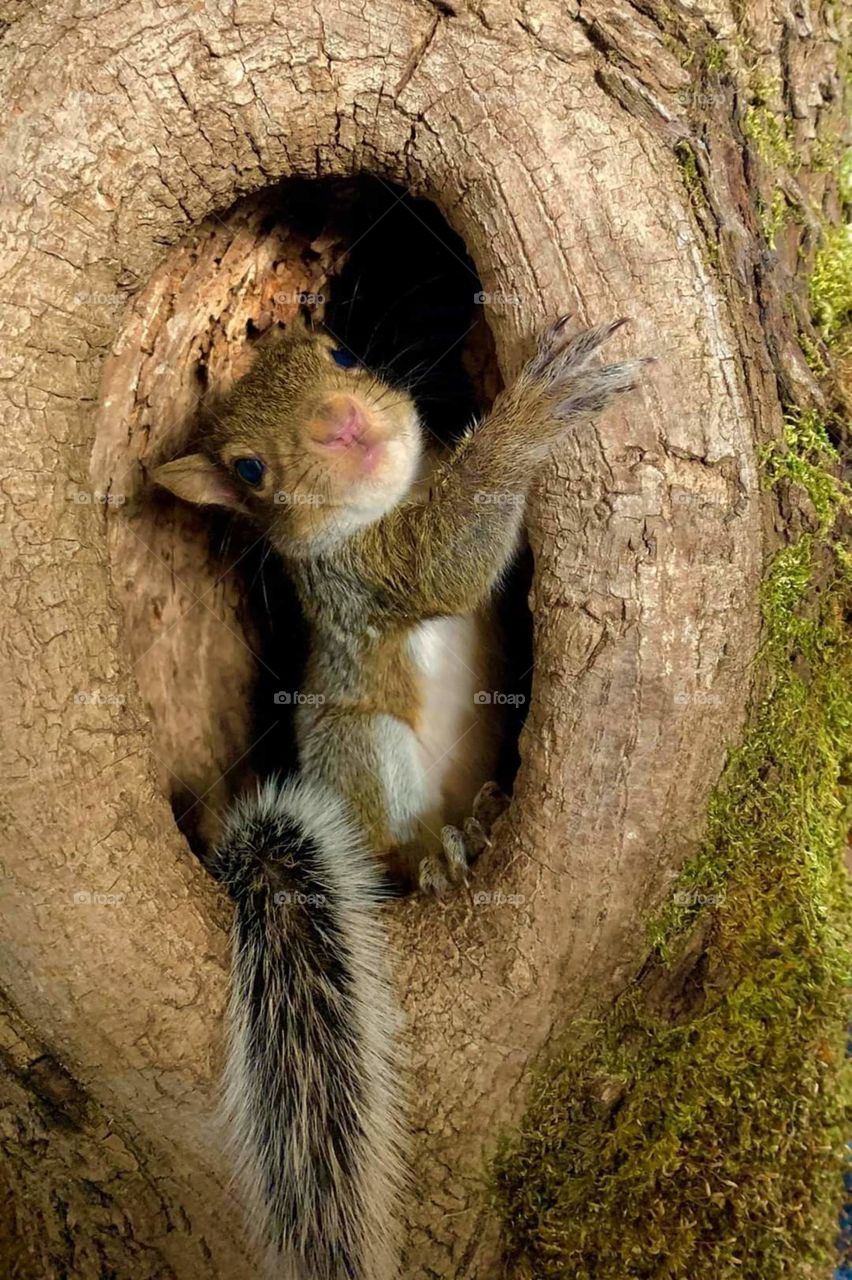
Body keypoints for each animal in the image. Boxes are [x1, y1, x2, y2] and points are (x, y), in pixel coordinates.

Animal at [152, 312, 646, 1280]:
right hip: (362, 753)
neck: (395, 494)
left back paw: (481, 823)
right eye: (248, 470)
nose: (340, 422)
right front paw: (529, 418)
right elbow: (441, 564)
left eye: (341, 351)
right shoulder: (364, 578)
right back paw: (435, 859)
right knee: (388, 846)